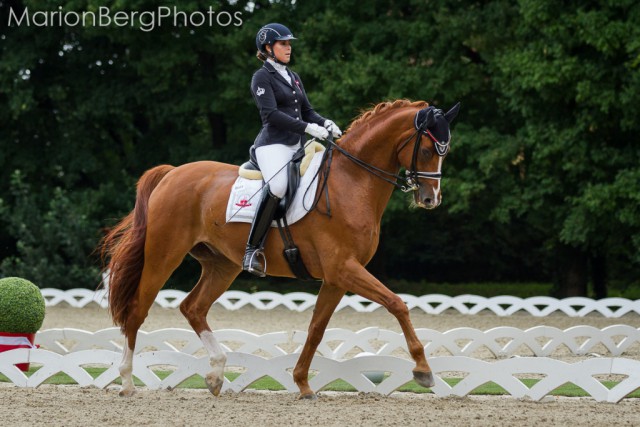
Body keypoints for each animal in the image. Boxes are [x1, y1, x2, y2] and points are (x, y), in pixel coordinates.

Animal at [100, 98, 458, 400]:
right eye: (428, 150)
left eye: (446, 150)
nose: (431, 199)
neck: (352, 182)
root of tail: (172, 173)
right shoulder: (344, 268)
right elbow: (397, 304)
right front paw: (423, 371)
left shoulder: (336, 278)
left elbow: (316, 329)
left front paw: (302, 384)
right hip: (163, 255)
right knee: (138, 309)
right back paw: (127, 381)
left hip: (222, 265)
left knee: (193, 307)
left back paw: (216, 374)